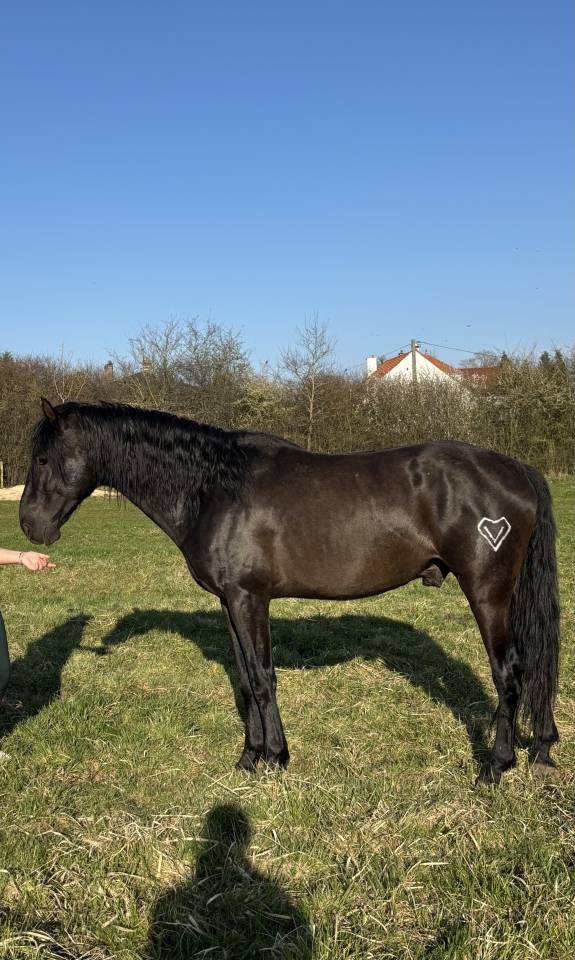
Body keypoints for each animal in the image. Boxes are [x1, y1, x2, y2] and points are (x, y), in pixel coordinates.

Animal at [19, 398, 560, 785]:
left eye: (43, 457)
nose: (28, 526)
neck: (213, 488)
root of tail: (517, 469)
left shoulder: (249, 598)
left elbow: (262, 679)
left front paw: (276, 757)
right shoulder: (230, 602)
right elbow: (244, 680)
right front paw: (249, 758)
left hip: (488, 593)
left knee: (509, 673)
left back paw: (496, 766)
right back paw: (539, 748)